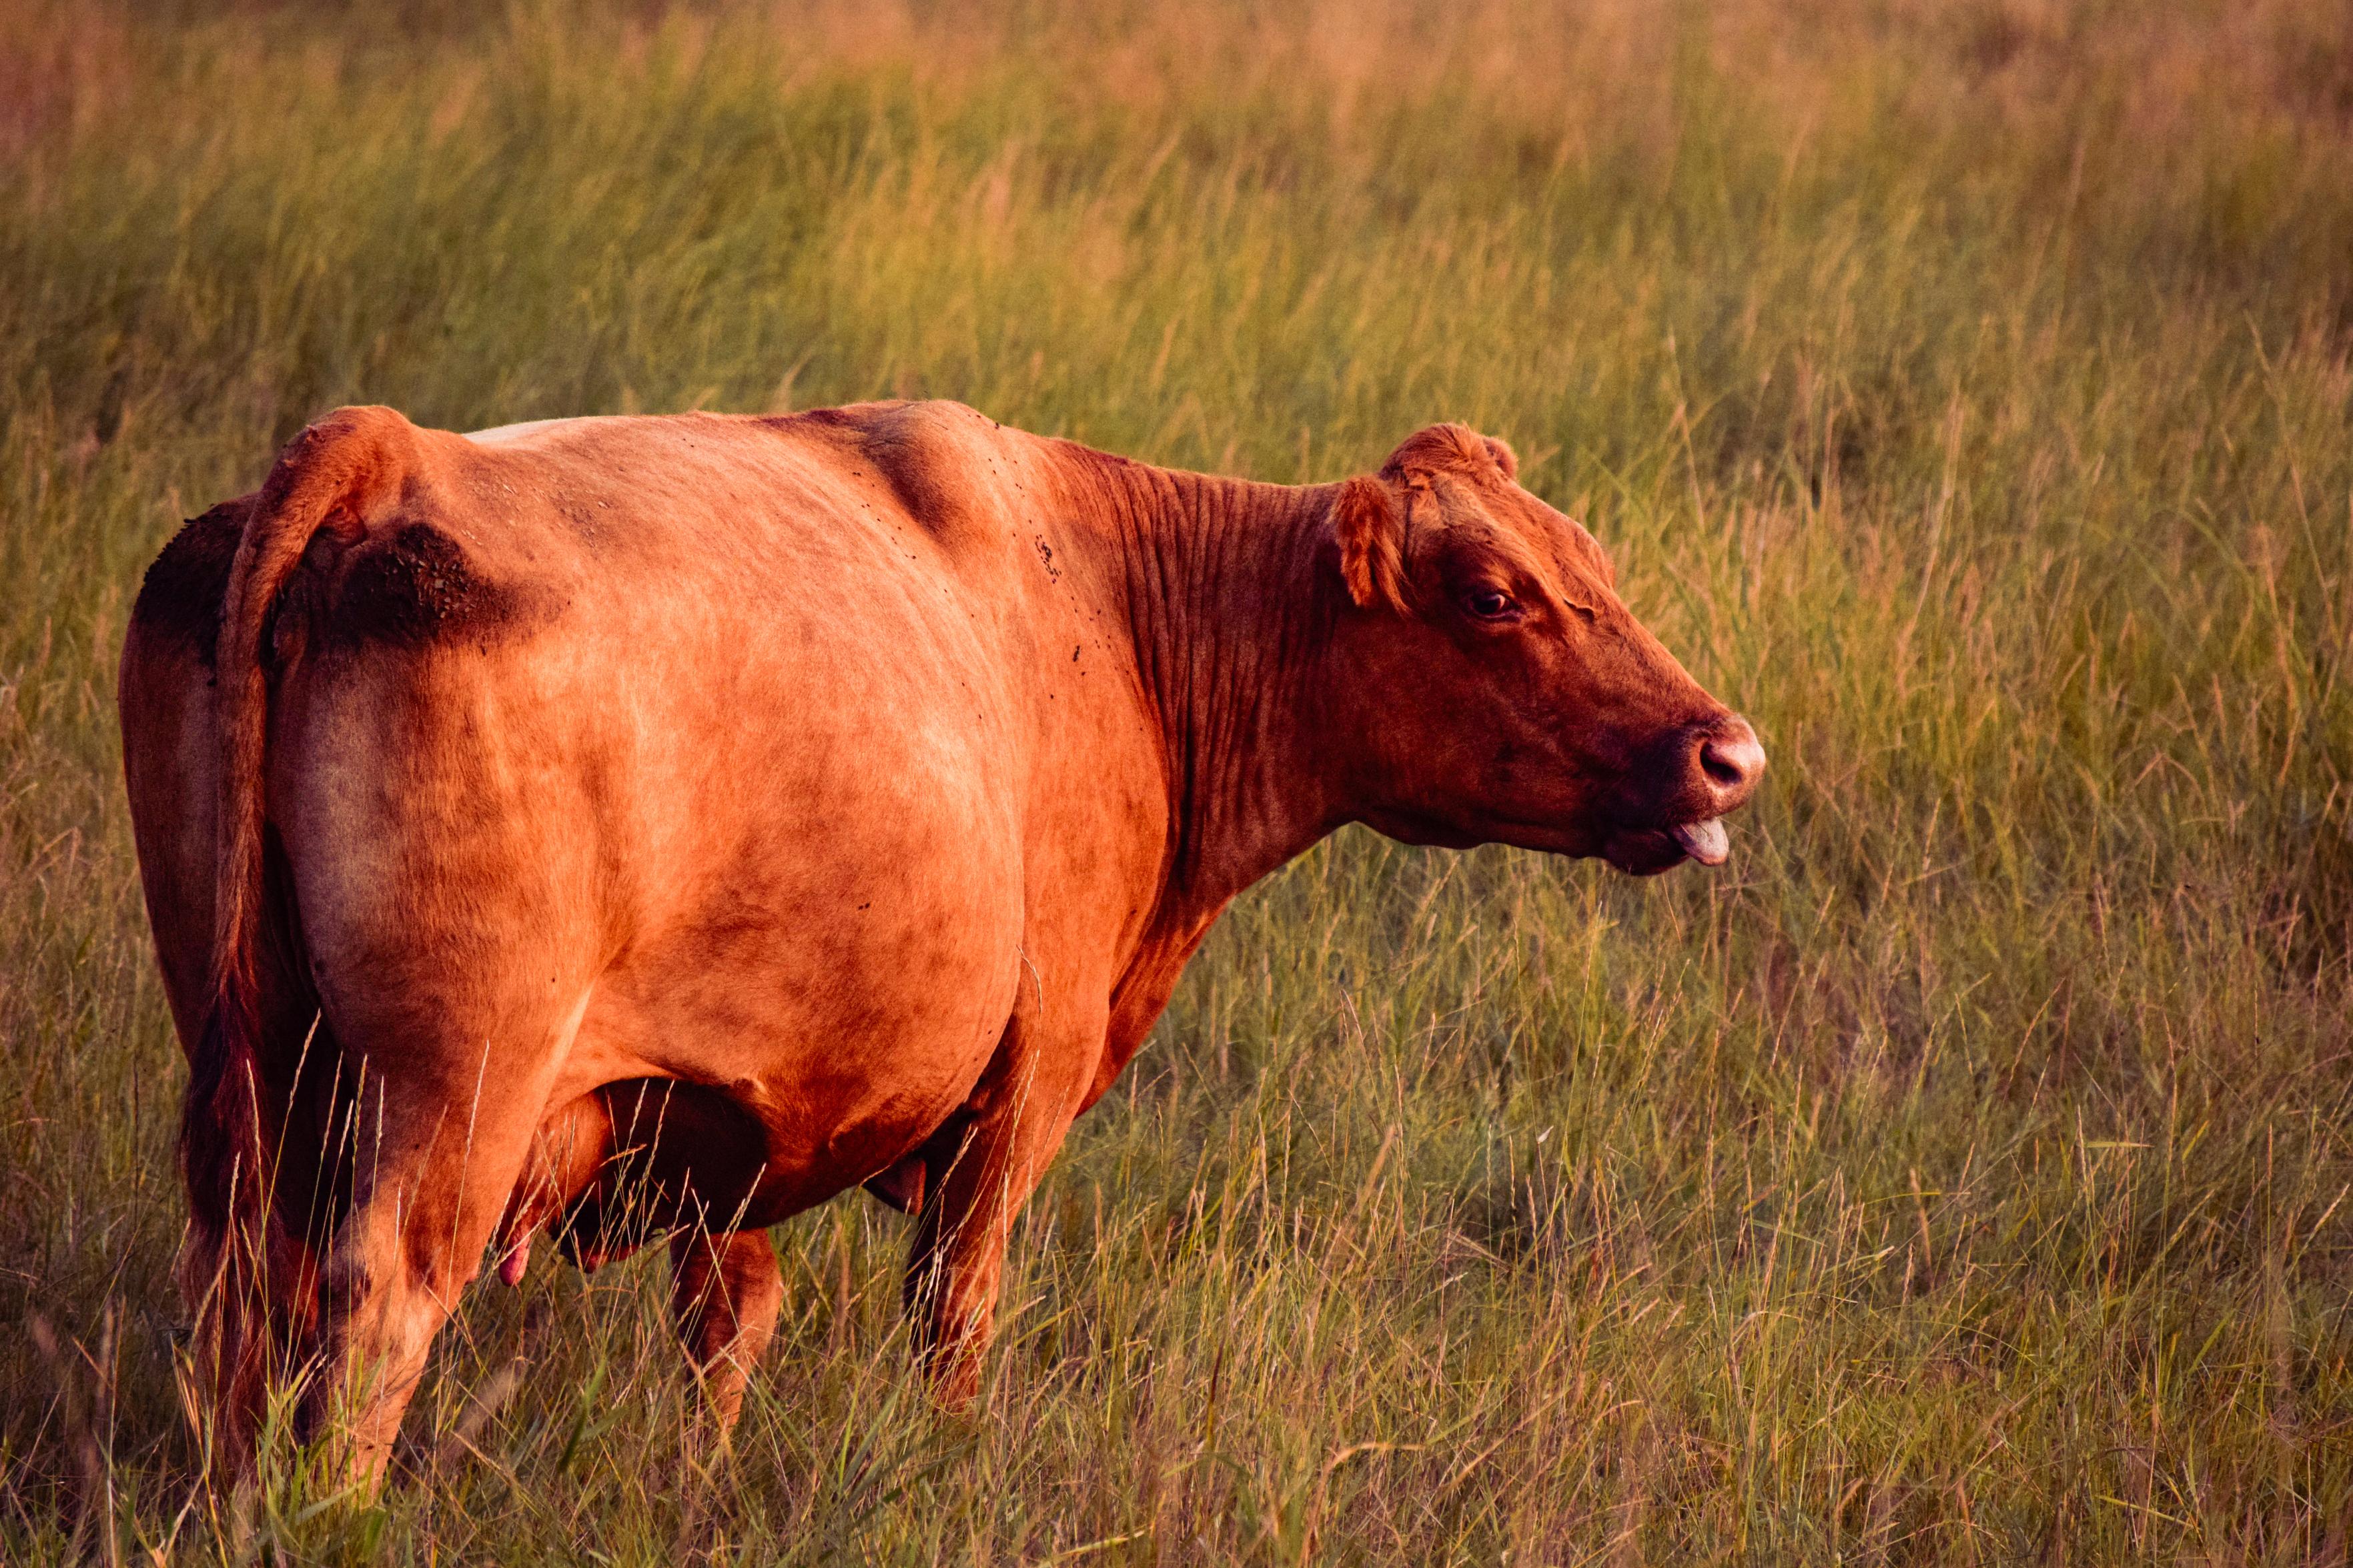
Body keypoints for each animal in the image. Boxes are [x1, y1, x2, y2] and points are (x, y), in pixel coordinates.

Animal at [118, 400, 1763, 1487]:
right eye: (1489, 595)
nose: (1725, 753)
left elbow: (729, 1318)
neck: (1118, 612)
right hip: (453, 1093)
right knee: (375, 1308)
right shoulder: (1020, 1084)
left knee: (237, 1292)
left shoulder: (740, 1105)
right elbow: (952, 1318)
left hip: (241, 1073)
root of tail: (389, 450)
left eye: (1592, 561)